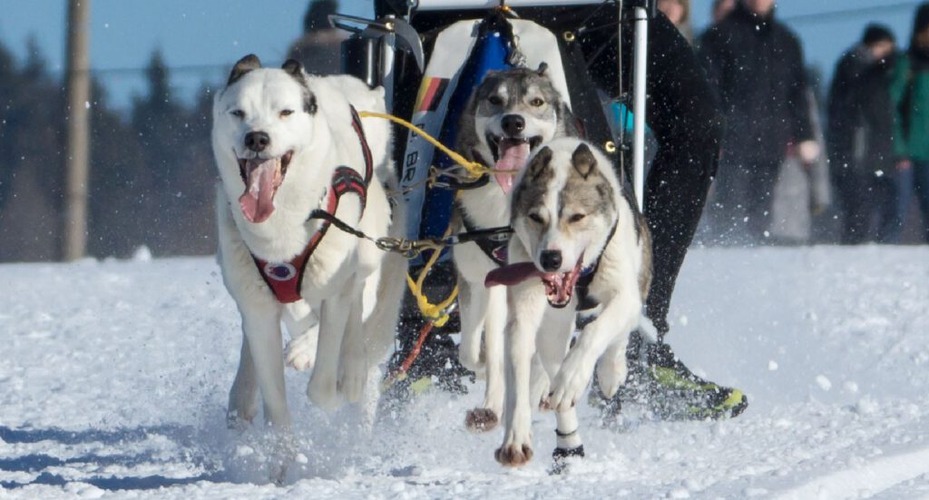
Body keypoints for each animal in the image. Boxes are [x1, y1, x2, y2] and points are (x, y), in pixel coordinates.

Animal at [215, 54, 410, 444]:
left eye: (286, 112)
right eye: (238, 112)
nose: (256, 138)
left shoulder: (340, 286)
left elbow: (322, 384)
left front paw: (319, 363)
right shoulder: (258, 310)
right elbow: (276, 407)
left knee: (358, 317)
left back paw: (350, 373)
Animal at [486, 138, 652, 468]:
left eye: (577, 217)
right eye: (536, 217)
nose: (551, 258)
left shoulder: (625, 293)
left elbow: (595, 332)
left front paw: (578, 375)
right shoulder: (526, 312)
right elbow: (520, 367)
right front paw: (516, 437)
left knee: (616, 337)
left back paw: (609, 372)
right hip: (553, 328)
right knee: (550, 371)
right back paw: (567, 439)